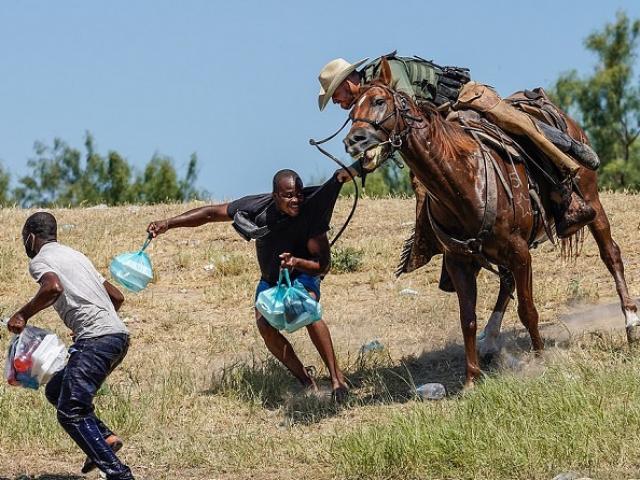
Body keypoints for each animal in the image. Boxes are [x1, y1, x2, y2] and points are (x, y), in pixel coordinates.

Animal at [344, 58, 640, 388]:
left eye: (379, 101)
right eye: (351, 110)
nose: (353, 141)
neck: (463, 181)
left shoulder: (520, 252)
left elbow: (528, 310)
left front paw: (540, 359)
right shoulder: (460, 261)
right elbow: (468, 319)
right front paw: (472, 379)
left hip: (592, 201)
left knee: (611, 254)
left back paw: (630, 322)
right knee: (506, 281)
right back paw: (491, 339)